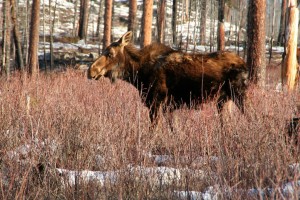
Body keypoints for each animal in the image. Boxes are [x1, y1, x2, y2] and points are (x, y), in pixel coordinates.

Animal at [88, 32, 250, 126]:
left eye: (110, 53)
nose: (91, 71)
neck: (138, 73)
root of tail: (245, 65)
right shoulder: (169, 106)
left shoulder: (156, 102)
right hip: (223, 100)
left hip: (239, 95)